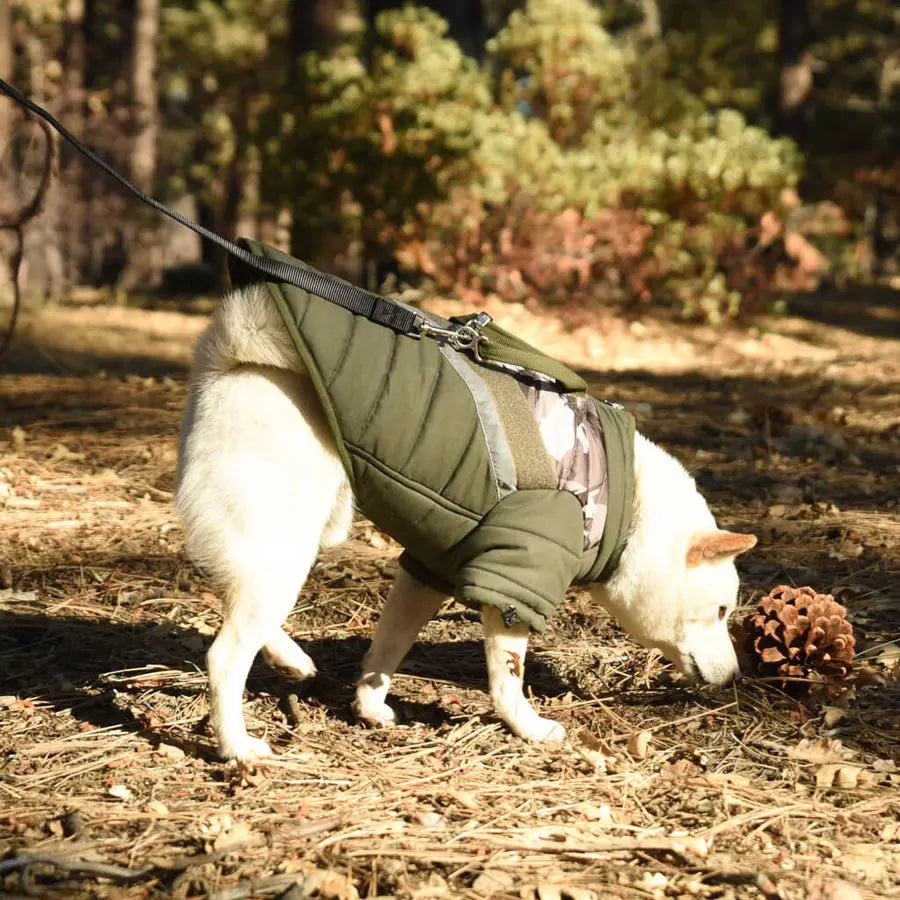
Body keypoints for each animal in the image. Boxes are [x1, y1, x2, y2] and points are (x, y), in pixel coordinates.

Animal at [174, 284, 752, 764]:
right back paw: (237, 746)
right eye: (723, 611)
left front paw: (370, 706)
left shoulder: (429, 568)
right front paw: (530, 729)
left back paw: (291, 660)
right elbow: (507, 679)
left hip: (289, 541)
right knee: (225, 656)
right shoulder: (515, 583)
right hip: (285, 543)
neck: (625, 502)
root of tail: (233, 358)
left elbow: (388, 647)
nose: (735, 676)